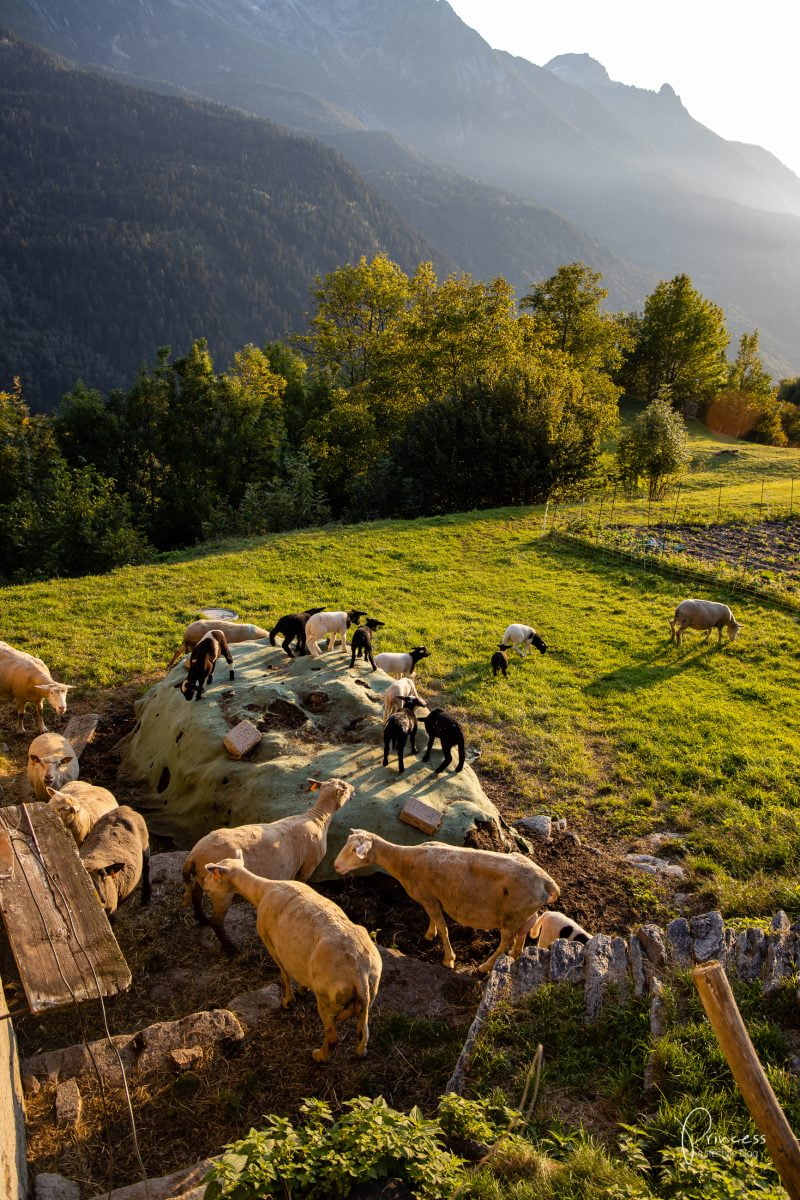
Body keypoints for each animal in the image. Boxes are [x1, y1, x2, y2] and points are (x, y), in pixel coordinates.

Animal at [185, 777, 355, 955]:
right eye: (344, 787)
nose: (354, 789)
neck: (318, 817)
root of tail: (193, 856)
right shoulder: (309, 865)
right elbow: (303, 881)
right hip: (221, 891)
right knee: (216, 920)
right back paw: (230, 948)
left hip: (201, 878)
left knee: (196, 894)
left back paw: (201, 919)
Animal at [205, 854, 383, 1060]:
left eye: (213, 874)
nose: (206, 887)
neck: (261, 890)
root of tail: (359, 974)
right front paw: (302, 989)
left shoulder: (272, 945)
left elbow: (284, 974)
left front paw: (288, 1001)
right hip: (372, 990)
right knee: (363, 1031)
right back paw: (360, 1051)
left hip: (327, 995)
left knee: (333, 1037)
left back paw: (319, 1056)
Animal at [335, 835, 561, 974]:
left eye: (355, 850)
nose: (336, 866)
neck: (404, 861)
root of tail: (546, 882)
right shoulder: (432, 898)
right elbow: (433, 920)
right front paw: (429, 934)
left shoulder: (429, 897)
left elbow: (443, 927)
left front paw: (448, 959)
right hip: (524, 913)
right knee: (523, 933)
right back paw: (514, 957)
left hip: (512, 916)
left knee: (505, 941)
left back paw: (484, 967)